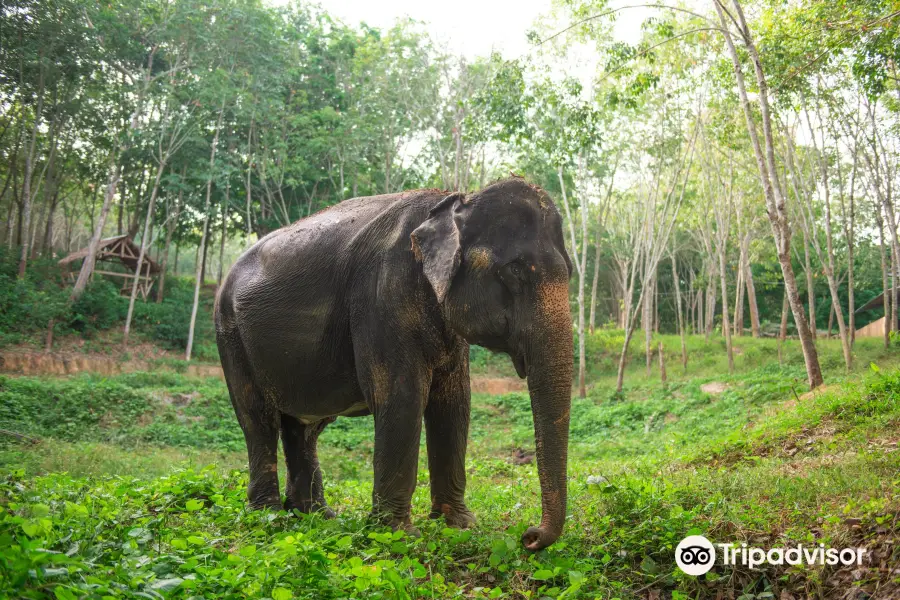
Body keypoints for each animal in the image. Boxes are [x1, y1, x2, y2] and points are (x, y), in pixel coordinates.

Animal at [214, 176, 572, 552]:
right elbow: (402, 397)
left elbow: (454, 403)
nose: (529, 537)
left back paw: (317, 517)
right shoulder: (381, 295)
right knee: (258, 420)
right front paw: (397, 535)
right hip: (230, 335)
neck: (453, 200)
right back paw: (269, 519)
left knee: (304, 428)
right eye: (514, 273)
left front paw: (458, 526)